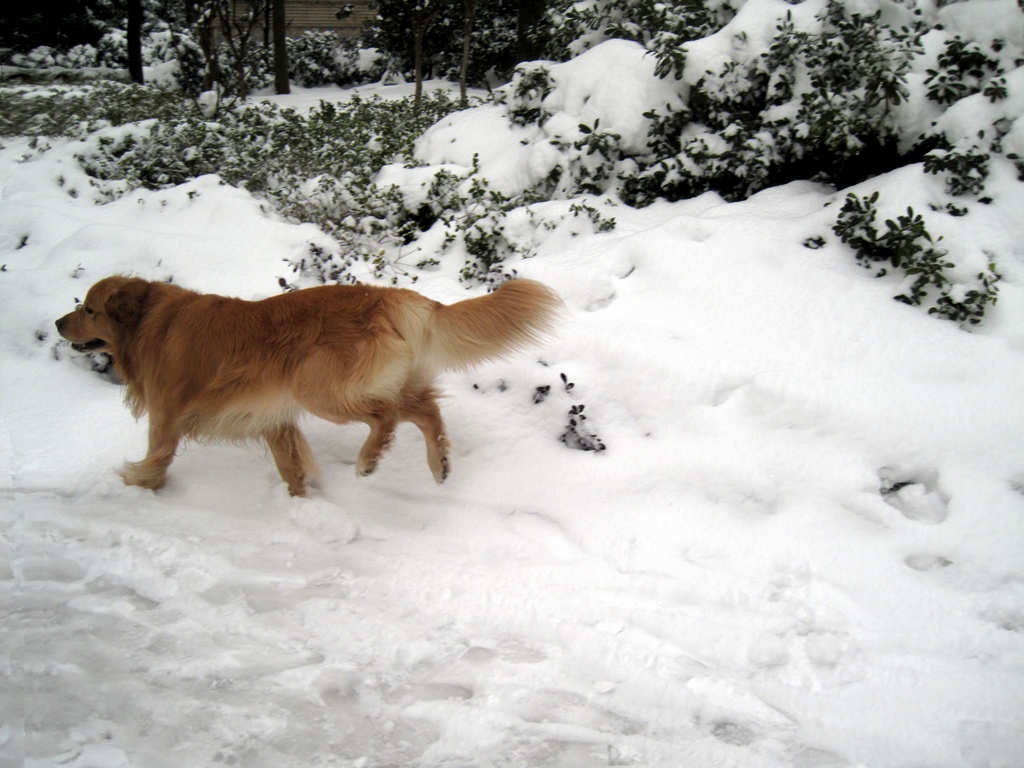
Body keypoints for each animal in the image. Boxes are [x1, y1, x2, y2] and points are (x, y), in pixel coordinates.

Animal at [55, 278, 561, 499]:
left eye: (88, 307)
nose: (59, 322)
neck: (148, 323)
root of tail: (390, 295)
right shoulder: (273, 420)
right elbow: (291, 466)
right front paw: (301, 503)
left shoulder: (166, 415)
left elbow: (158, 457)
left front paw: (137, 485)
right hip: (358, 385)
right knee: (423, 409)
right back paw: (440, 464)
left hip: (318, 389)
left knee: (388, 417)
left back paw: (369, 460)